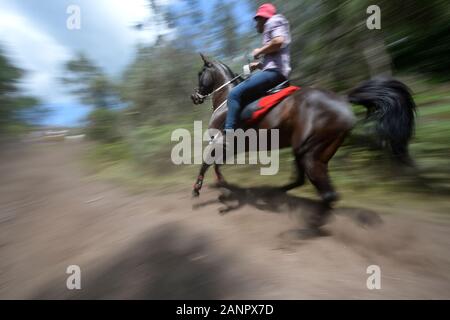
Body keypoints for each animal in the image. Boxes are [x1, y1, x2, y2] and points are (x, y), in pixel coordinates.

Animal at [189, 52, 414, 202]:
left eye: (200, 73)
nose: (194, 97)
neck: (227, 100)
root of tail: (342, 99)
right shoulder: (233, 146)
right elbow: (215, 164)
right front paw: (223, 186)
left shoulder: (222, 140)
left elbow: (207, 162)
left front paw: (200, 189)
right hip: (317, 150)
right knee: (308, 183)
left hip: (309, 150)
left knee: (322, 189)